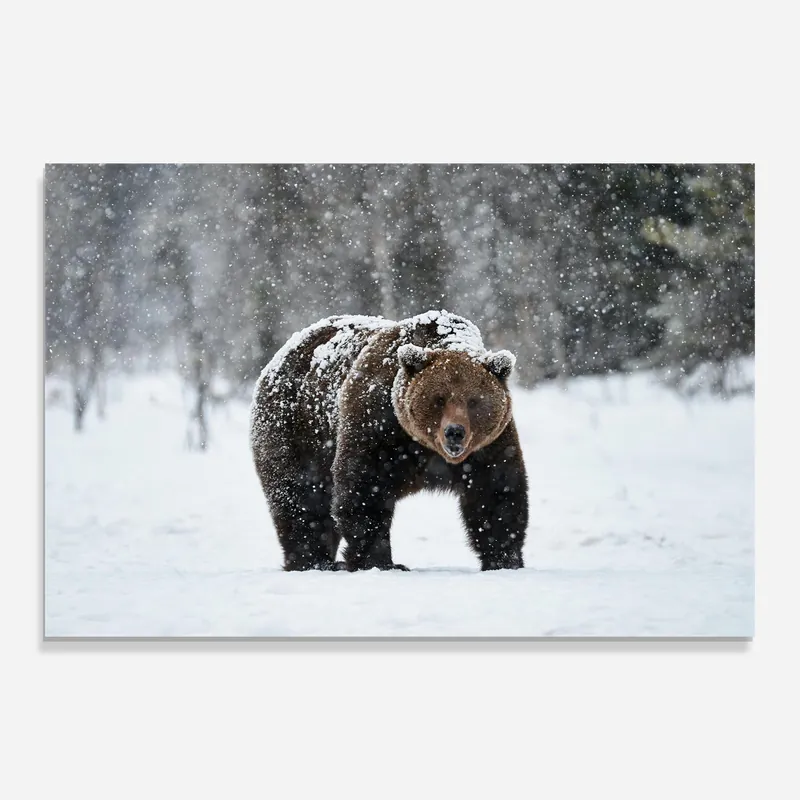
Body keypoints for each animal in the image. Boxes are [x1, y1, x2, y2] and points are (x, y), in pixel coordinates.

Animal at [249, 310, 528, 572]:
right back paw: (314, 561)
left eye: (474, 401)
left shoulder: (489, 446)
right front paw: (380, 561)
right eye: (439, 399)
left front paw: (504, 560)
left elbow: (496, 493)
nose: (454, 432)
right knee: (302, 498)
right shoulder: (377, 424)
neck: (425, 448)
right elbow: (364, 489)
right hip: (297, 430)